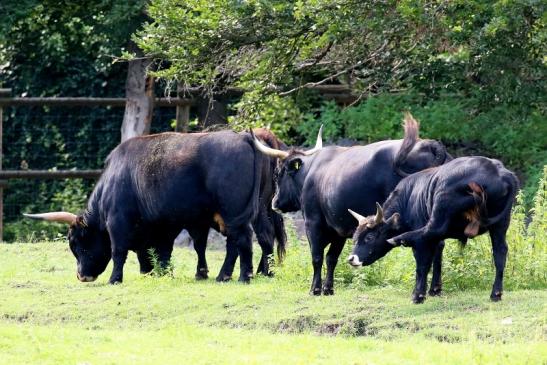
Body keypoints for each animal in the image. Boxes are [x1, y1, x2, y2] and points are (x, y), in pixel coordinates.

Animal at [24, 129, 286, 282]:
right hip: (257, 210)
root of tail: (245, 136)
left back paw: (244, 276)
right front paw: (161, 272)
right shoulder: (167, 224)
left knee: (243, 241)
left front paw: (115, 279)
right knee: (260, 237)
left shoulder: (118, 222)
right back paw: (256, 273)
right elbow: (164, 250)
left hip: (235, 213)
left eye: (78, 243)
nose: (81, 276)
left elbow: (119, 251)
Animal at [255, 112, 452, 294]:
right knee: (439, 244)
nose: (274, 202)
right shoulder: (339, 228)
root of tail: (429, 144)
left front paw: (315, 289)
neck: (311, 173)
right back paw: (435, 288)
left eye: (278, 173)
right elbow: (332, 258)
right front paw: (328, 288)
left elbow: (317, 257)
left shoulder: (313, 223)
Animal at [346, 156, 520, 302]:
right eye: (355, 238)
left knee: (427, 232)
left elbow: (422, 263)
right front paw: (435, 290)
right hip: (501, 224)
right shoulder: (438, 241)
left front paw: (418, 295)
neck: (408, 198)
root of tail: (498, 171)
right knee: (500, 252)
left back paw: (400, 239)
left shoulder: (423, 241)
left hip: (441, 208)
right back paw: (496, 293)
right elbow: (437, 256)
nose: (351, 259)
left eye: (369, 237)